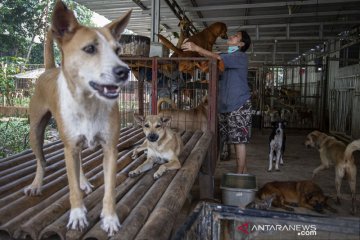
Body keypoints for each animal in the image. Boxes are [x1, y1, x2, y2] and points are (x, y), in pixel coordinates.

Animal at [25, 0, 132, 235]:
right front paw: (77, 215)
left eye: (118, 50)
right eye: (90, 49)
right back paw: (36, 184)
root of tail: (49, 69)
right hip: (36, 131)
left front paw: (110, 218)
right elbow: (72, 188)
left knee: (79, 163)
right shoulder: (69, 148)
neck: (88, 103)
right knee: (41, 161)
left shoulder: (110, 148)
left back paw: (83, 181)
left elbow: (110, 189)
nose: (124, 72)